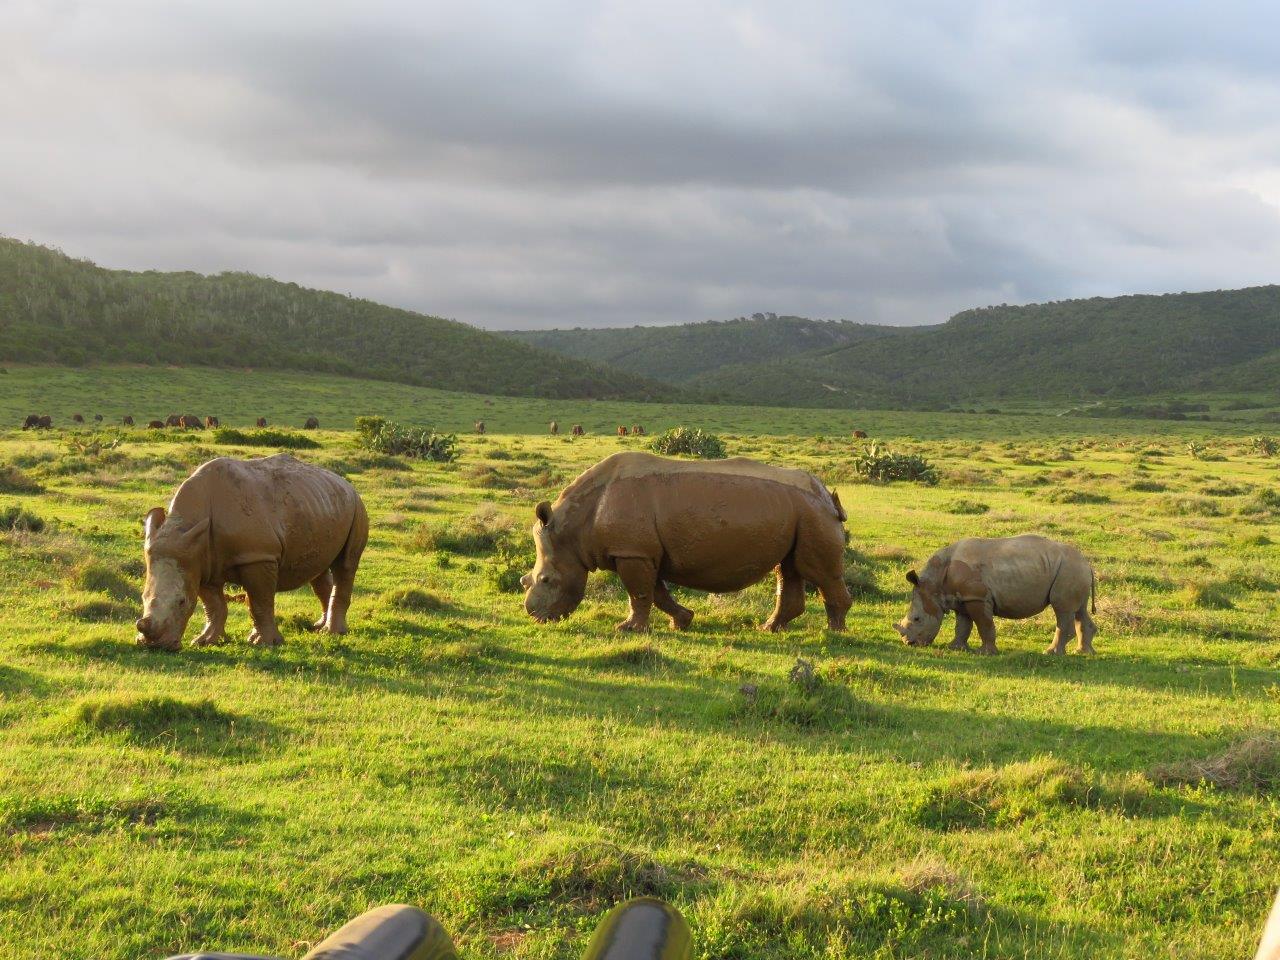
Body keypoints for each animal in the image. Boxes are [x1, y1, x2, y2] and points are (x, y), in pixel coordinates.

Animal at [138, 453, 368, 650]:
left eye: (181, 602)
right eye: (142, 597)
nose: (154, 646)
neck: (185, 524)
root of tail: (344, 483)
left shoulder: (258, 556)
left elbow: (260, 601)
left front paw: (263, 643)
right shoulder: (200, 562)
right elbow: (213, 604)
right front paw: (205, 641)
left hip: (357, 506)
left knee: (346, 565)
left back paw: (333, 632)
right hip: (319, 506)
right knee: (318, 570)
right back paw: (319, 626)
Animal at [896, 537, 1095, 660]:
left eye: (917, 619)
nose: (909, 643)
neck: (934, 584)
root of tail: (1087, 564)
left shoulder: (977, 597)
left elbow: (984, 625)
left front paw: (985, 653)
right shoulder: (964, 599)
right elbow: (962, 626)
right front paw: (955, 648)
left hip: (1069, 569)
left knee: (1062, 609)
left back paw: (1050, 653)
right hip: (1073, 569)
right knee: (1079, 610)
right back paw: (1083, 652)